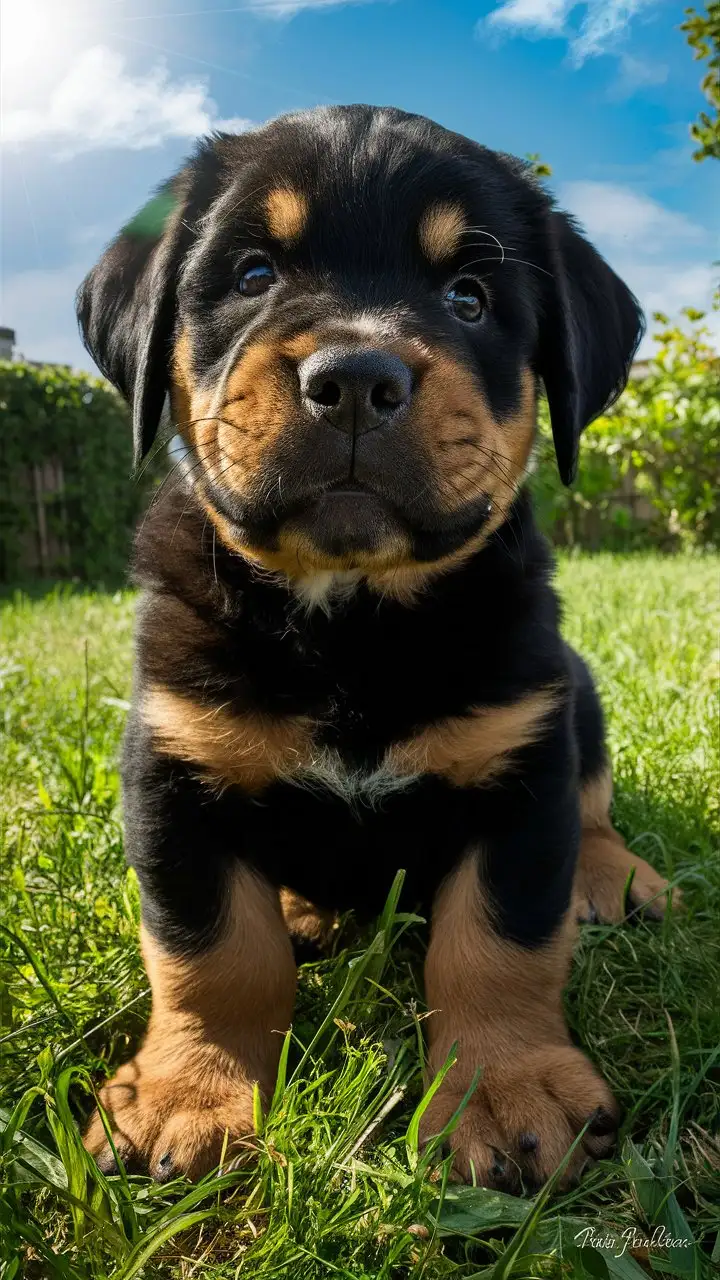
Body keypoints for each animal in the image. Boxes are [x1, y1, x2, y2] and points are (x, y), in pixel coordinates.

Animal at [77, 107, 671, 1187]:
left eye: (469, 298)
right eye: (253, 275)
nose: (355, 376)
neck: (352, 621)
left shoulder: (522, 759)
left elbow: (499, 936)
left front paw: (505, 1089)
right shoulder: (173, 765)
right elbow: (209, 949)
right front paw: (190, 1090)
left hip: (578, 693)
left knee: (596, 807)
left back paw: (613, 877)